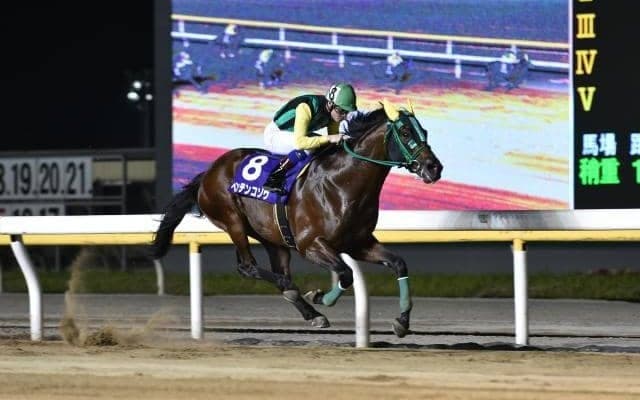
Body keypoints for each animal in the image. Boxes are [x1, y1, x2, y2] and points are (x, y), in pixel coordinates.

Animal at [151, 100, 443, 337]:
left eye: (425, 132)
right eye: (405, 133)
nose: (434, 167)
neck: (342, 184)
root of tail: (209, 172)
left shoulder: (359, 243)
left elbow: (398, 264)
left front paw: (402, 322)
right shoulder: (310, 244)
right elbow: (346, 273)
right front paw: (320, 296)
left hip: (272, 237)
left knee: (275, 269)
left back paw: (310, 312)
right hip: (232, 220)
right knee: (248, 267)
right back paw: (297, 293)